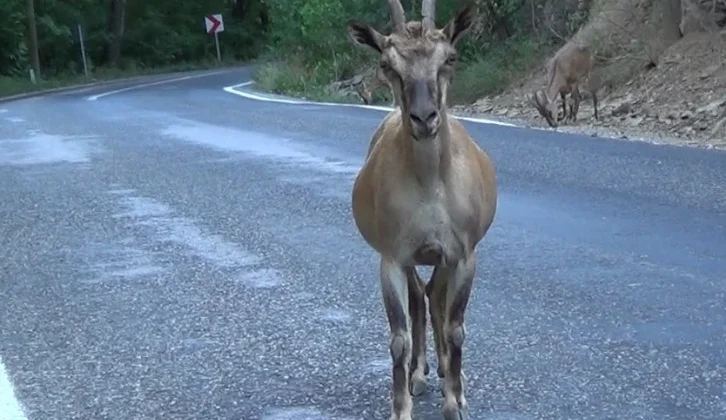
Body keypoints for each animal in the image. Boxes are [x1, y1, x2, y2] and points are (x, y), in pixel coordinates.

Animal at [348, 1, 500, 418]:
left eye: (450, 57)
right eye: (387, 64)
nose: (424, 118)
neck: (431, 187)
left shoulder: (462, 253)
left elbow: (456, 326)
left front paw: (455, 402)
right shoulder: (393, 255)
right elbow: (398, 337)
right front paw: (401, 407)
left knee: (434, 297)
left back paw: (447, 372)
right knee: (421, 296)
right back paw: (419, 373)